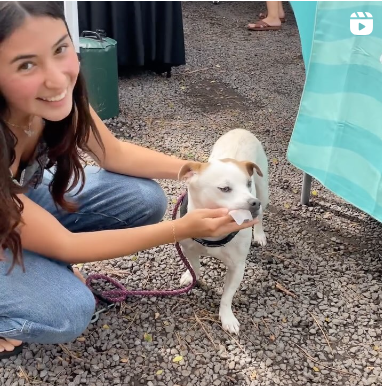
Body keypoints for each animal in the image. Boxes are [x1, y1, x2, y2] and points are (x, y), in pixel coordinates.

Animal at [177, 129, 268, 334]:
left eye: (247, 183)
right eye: (225, 188)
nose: (254, 203)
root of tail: (241, 130)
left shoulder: (237, 267)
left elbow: (227, 296)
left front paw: (227, 317)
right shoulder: (189, 249)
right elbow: (195, 266)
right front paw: (190, 276)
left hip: (264, 189)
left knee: (260, 217)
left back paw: (259, 234)